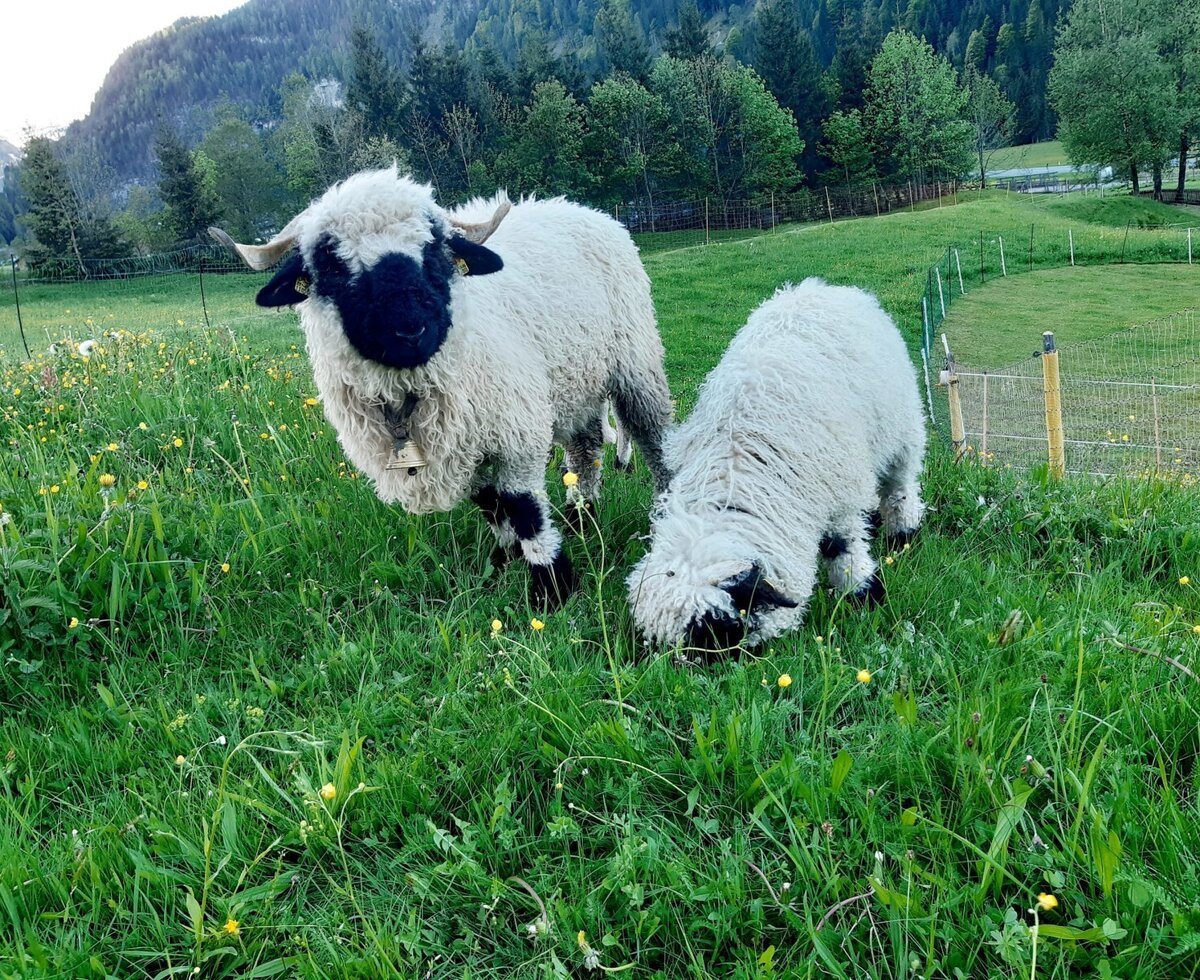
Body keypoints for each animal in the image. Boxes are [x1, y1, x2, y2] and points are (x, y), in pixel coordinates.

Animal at [211, 167, 673, 605]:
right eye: (330, 264)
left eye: (434, 248)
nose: (410, 329)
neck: (407, 396)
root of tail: (579, 208)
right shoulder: (461, 445)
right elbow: (493, 505)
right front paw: (505, 561)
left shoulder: (516, 432)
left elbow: (523, 508)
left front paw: (551, 587)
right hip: (577, 381)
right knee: (586, 448)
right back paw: (582, 517)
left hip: (635, 362)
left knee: (654, 440)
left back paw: (661, 512)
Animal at [626, 278, 926, 652]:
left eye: (724, 628)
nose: (745, 661)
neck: (738, 466)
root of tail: (818, 286)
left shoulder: (838, 497)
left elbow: (843, 548)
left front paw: (862, 591)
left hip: (902, 432)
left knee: (900, 487)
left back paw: (903, 532)